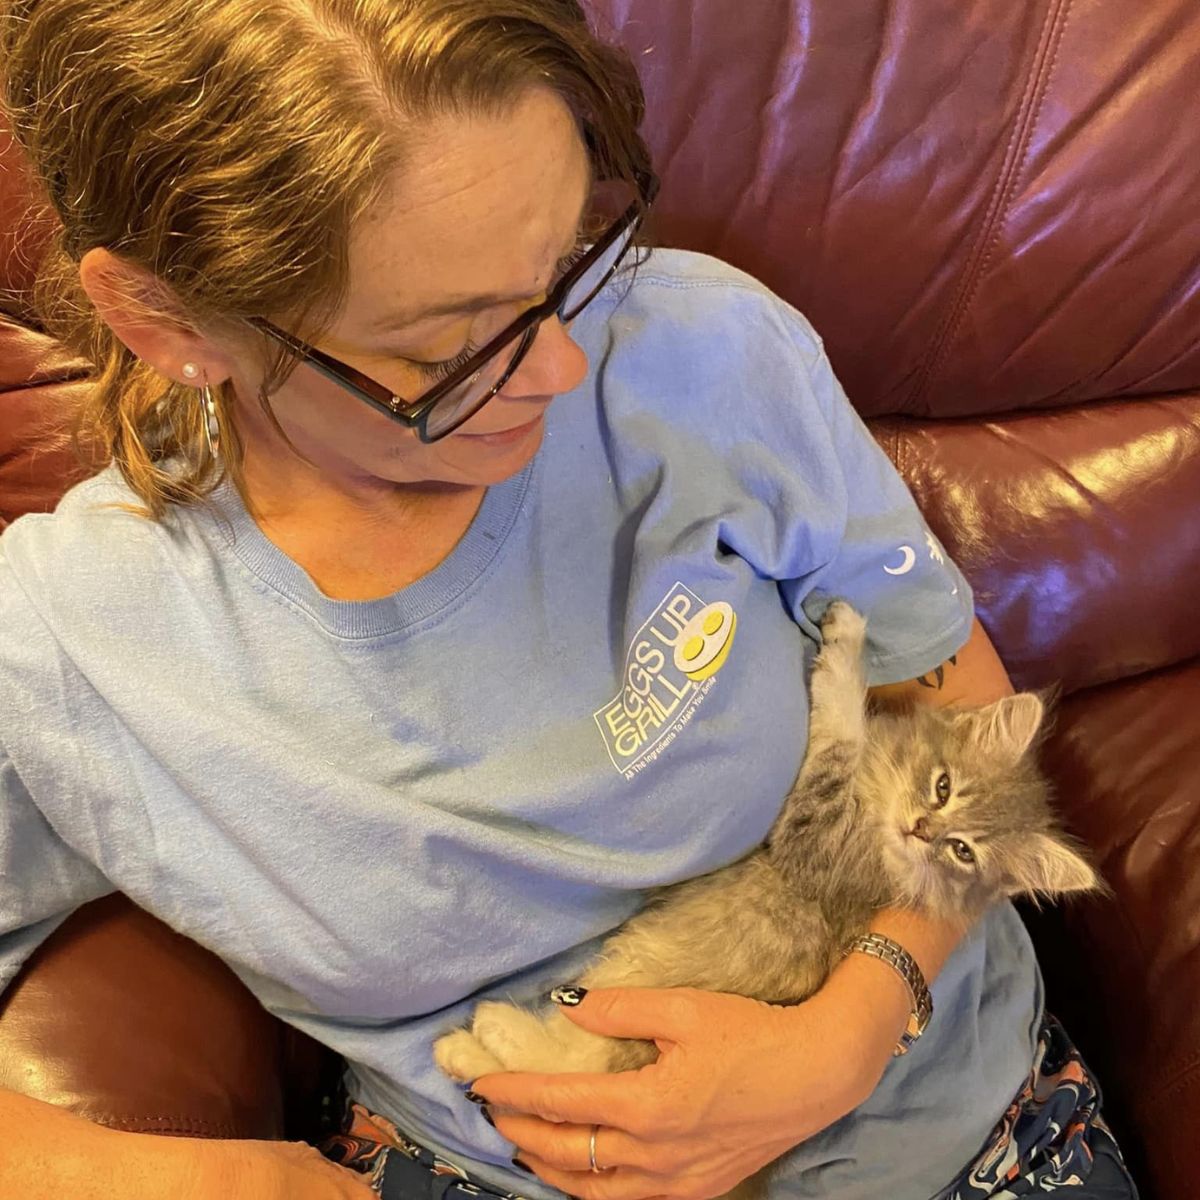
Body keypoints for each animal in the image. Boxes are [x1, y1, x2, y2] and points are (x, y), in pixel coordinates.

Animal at [432, 600, 1099, 1190]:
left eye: (962, 852)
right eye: (943, 788)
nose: (921, 831)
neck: (877, 806)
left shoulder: (817, 830)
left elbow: (839, 725)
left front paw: (846, 645)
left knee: (573, 1070)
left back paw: (481, 1037)